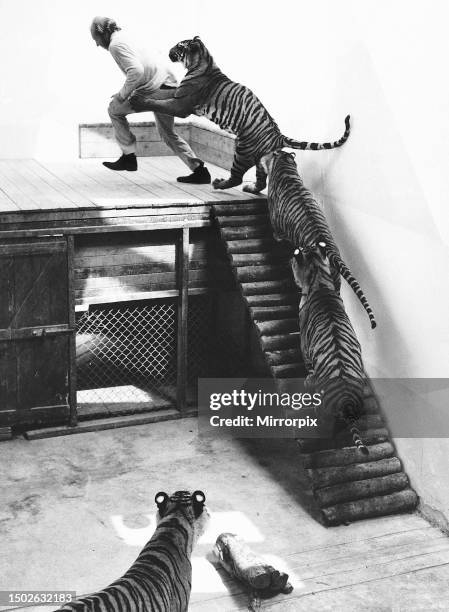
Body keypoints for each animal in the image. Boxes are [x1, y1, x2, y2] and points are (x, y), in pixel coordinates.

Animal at [129, 35, 350, 191]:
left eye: (179, 46)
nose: (169, 50)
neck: (203, 62)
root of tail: (278, 135)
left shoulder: (181, 104)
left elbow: (159, 103)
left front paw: (137, 100)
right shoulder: (177, 95)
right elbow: (160, 93)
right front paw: (138, 92)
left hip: (242, 149)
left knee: (236, 177)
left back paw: (219, 183)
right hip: (261, 158)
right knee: (261, 180)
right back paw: (250, 189)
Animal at [260, 150, 374, 328]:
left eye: (269, 153)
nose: (261, 158)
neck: (286, 168)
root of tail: (331, 250)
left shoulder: (276, 225)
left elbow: (277, 235)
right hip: (335, 278)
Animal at [290, 241, 368, 456]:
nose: (290, 259)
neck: (320, 281)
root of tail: (347, 401)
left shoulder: (304, 343)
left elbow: (308, 365)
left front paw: (307, 379)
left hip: (324, 407)